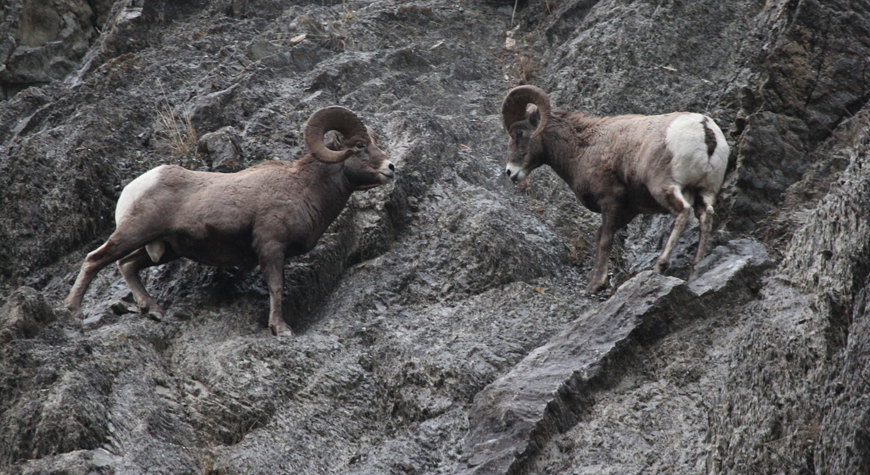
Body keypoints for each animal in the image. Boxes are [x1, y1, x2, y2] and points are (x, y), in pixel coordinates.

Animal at [68, 106, 396, 336]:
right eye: (359, 146)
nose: (391, 167)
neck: (303, 188)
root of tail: (135, 186)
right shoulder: (271, 247)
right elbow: (277, 288)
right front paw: (281, 330)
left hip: (165, 249)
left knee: (127, 265)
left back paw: (154, 311)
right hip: (134, 233)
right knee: (96, 259)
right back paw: (73, 312)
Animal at [500, 87, 732, 292]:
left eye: (519, 133)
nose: (510, 172)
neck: (583, 147)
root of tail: (704, 129)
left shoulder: (610, 201)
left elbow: (605, 240)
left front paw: (596, 285)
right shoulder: (628, 210)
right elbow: (600, 235)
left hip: (664, 187)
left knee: (682, 212)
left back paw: (661, 265)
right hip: (705, 192)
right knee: (706, 217)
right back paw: (696, 268)